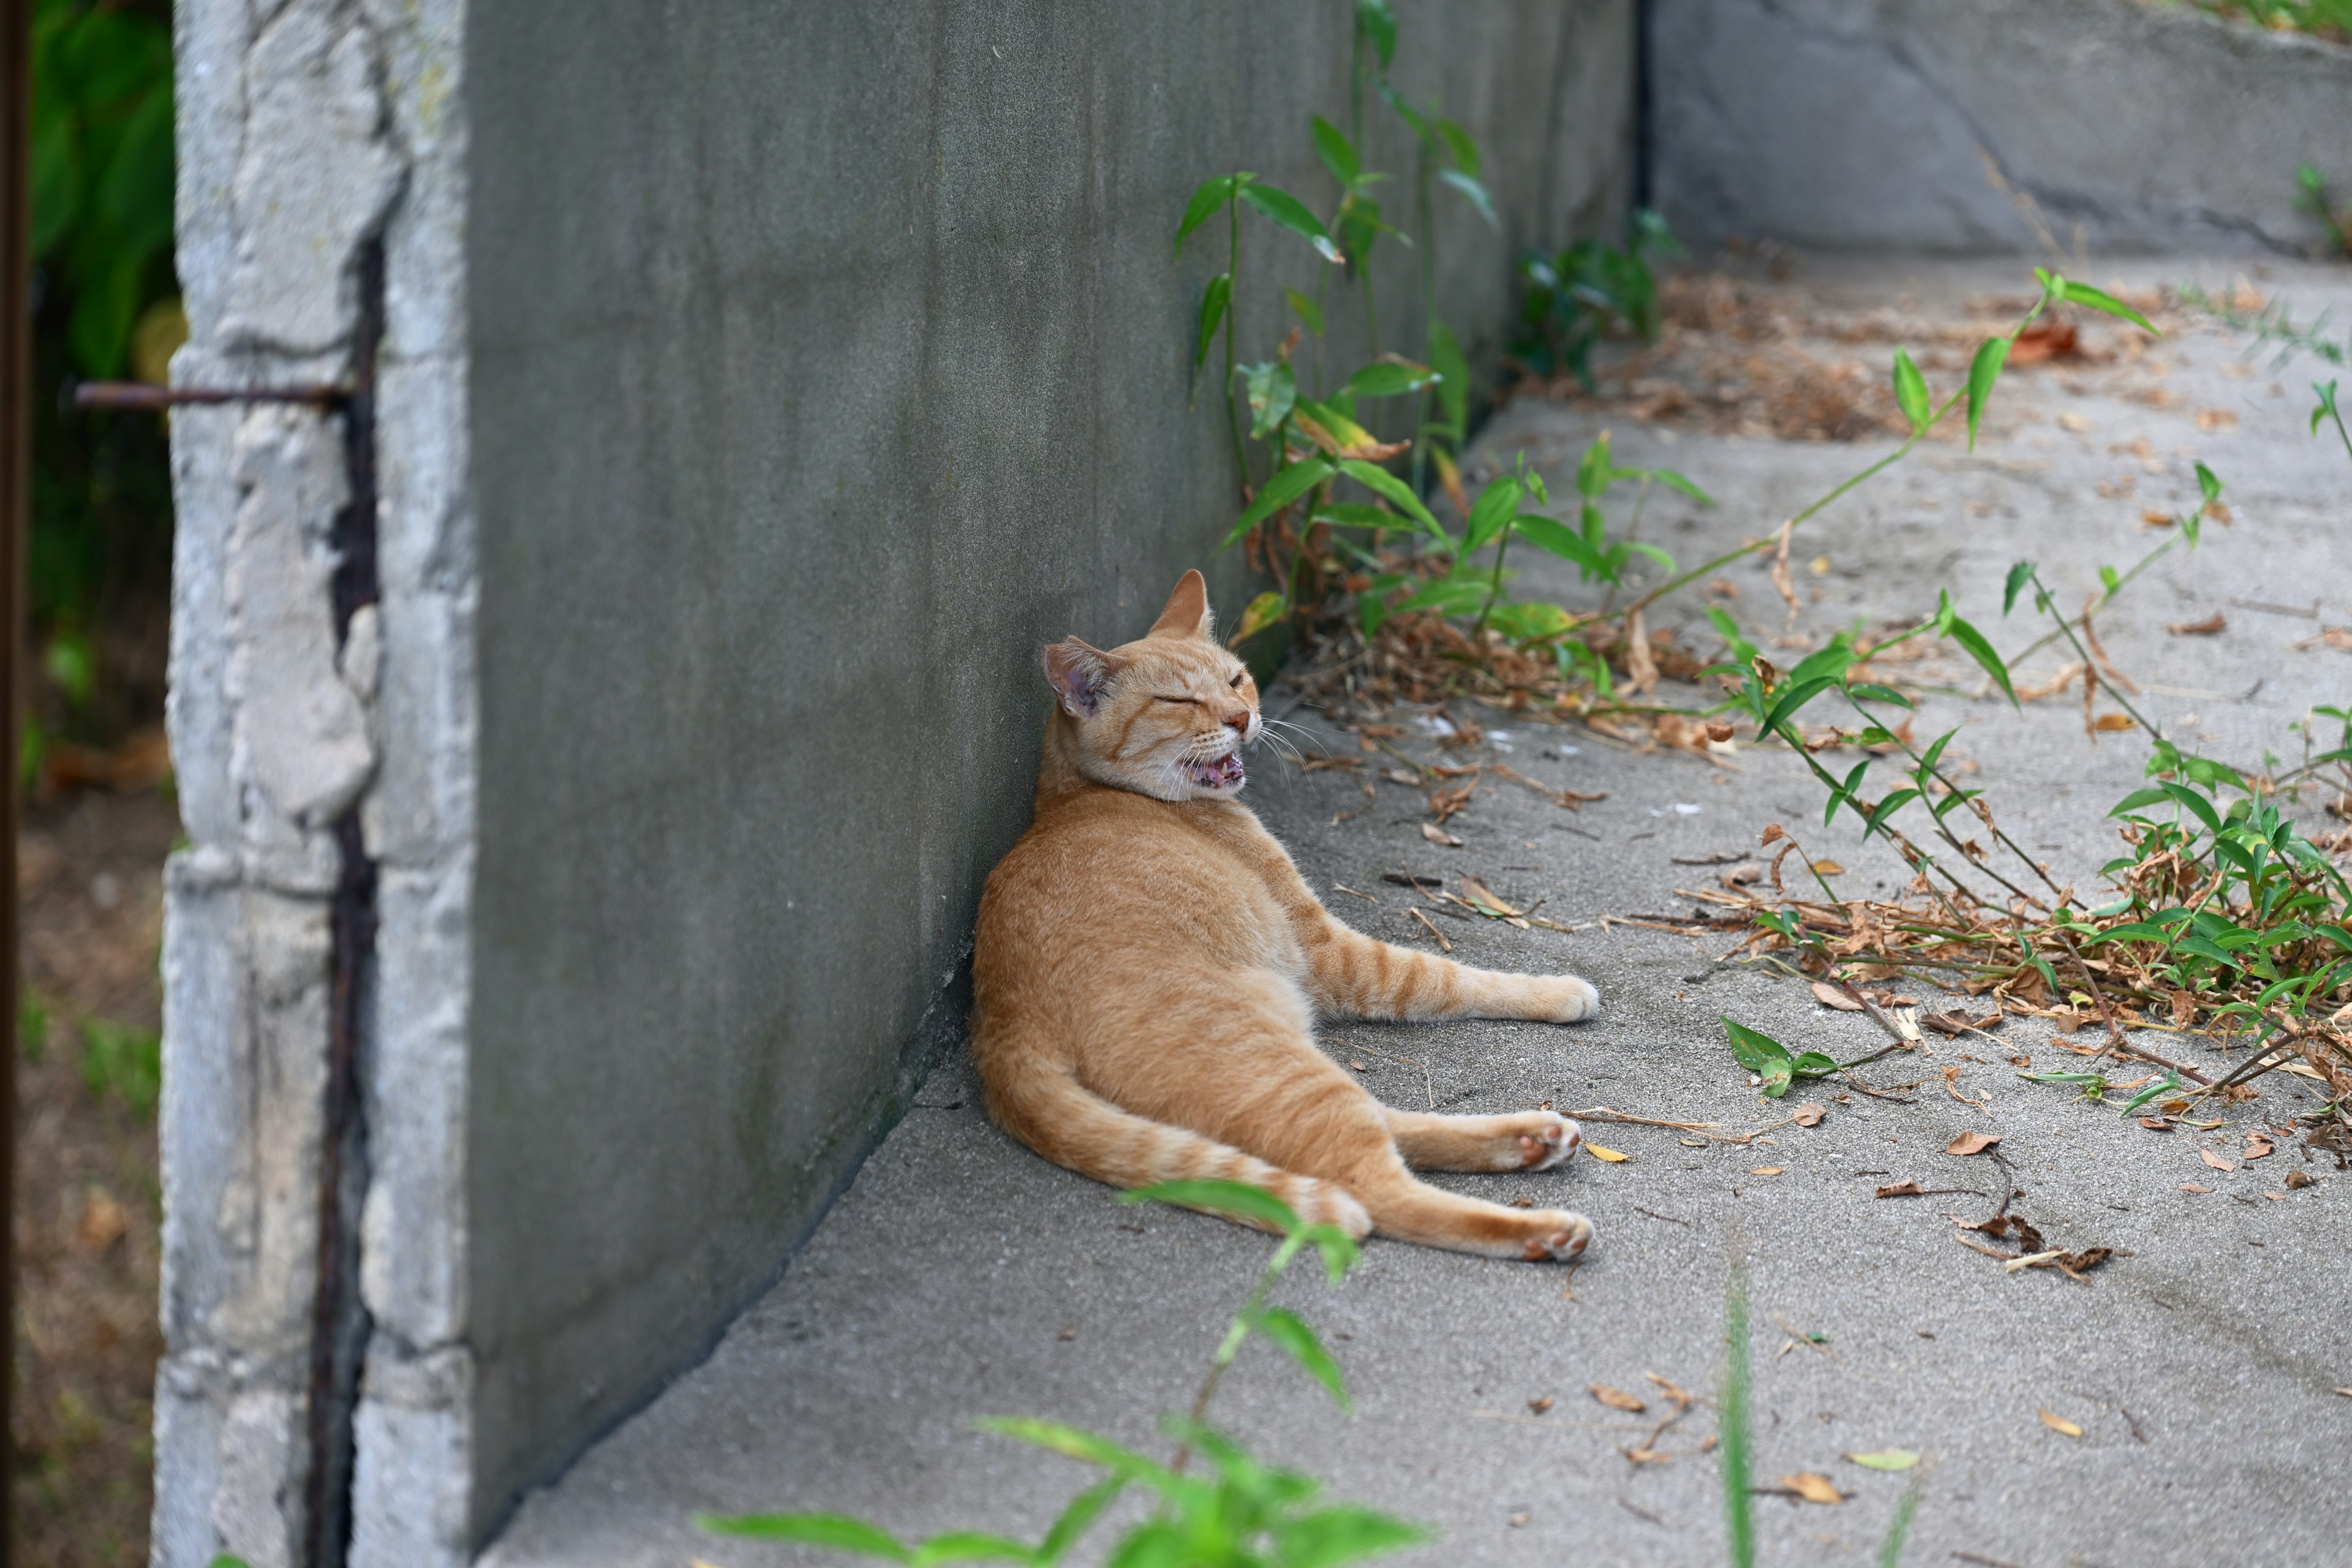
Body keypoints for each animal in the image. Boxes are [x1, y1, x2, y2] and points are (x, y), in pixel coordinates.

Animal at [969, 571, 1599, 1260]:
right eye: (1177, 700)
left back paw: (1531, 1138)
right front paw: (1559, 991)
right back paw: (1543, 1228)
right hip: (1283, 1069)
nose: (1241, 717)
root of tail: (1005, 1032)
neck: (1074, 794)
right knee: (1378, 1190)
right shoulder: (1332, 951)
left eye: (1236, 680)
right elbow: (1448, 975)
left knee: (1385, 1129)